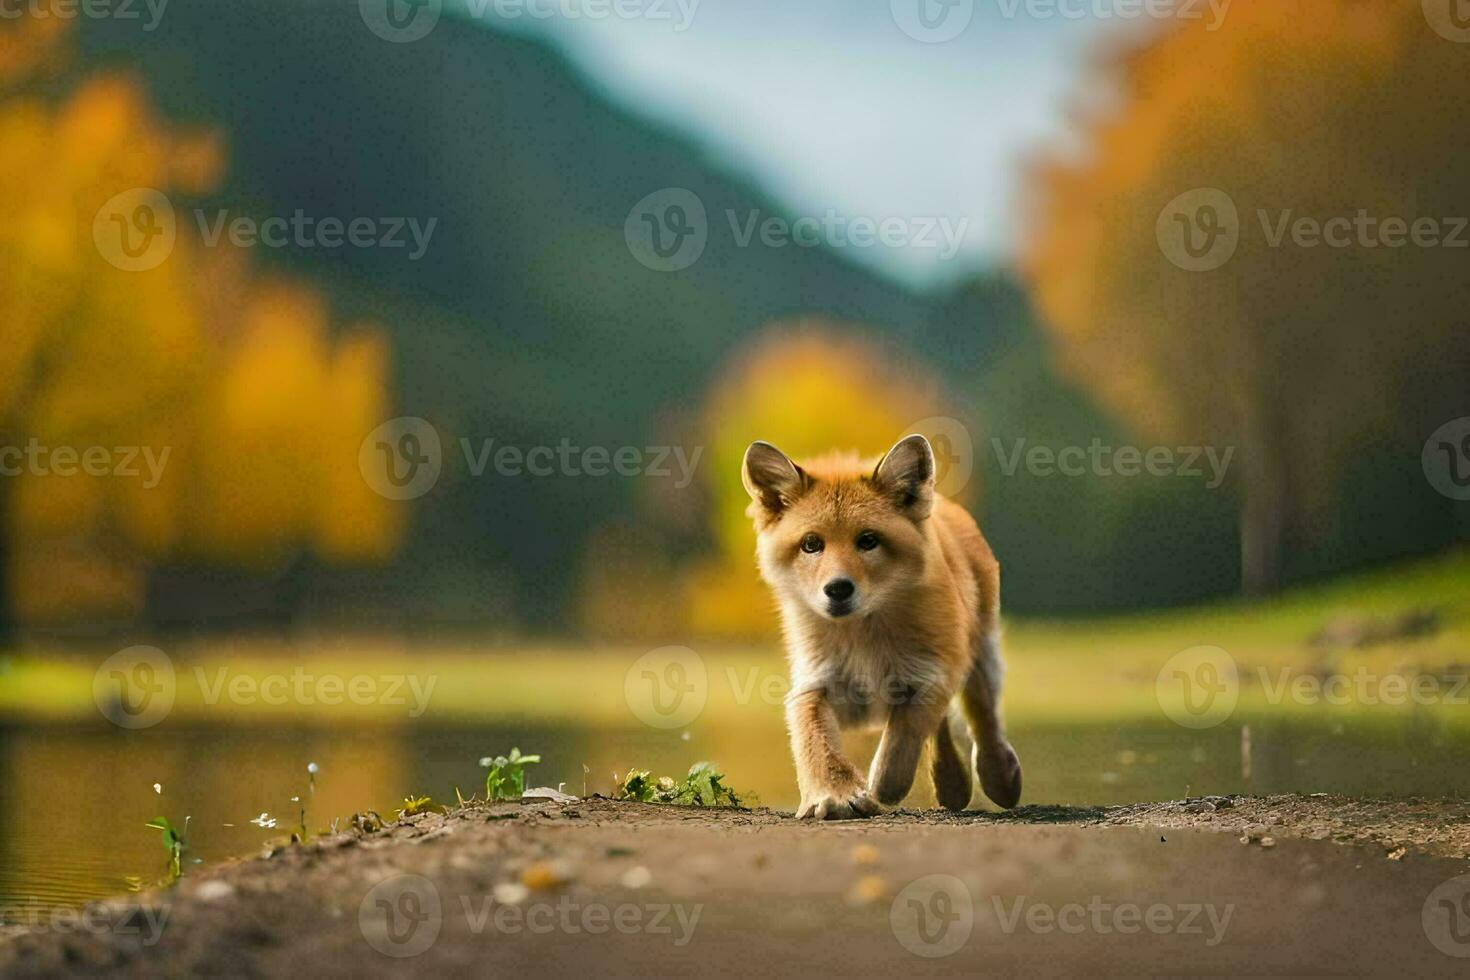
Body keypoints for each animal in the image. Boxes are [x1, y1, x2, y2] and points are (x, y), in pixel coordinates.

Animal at [740, 437, 1029, 822]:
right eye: (811, 544)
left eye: (868, 540)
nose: (838, 589)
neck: (864, 641)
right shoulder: (818, 683)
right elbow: (812, 737)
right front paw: (835, 792)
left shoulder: (929, 675)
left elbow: (902, 740)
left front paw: (882, 786)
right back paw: (951, 783)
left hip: (980, 659)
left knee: (984, 722)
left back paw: (999, 776)